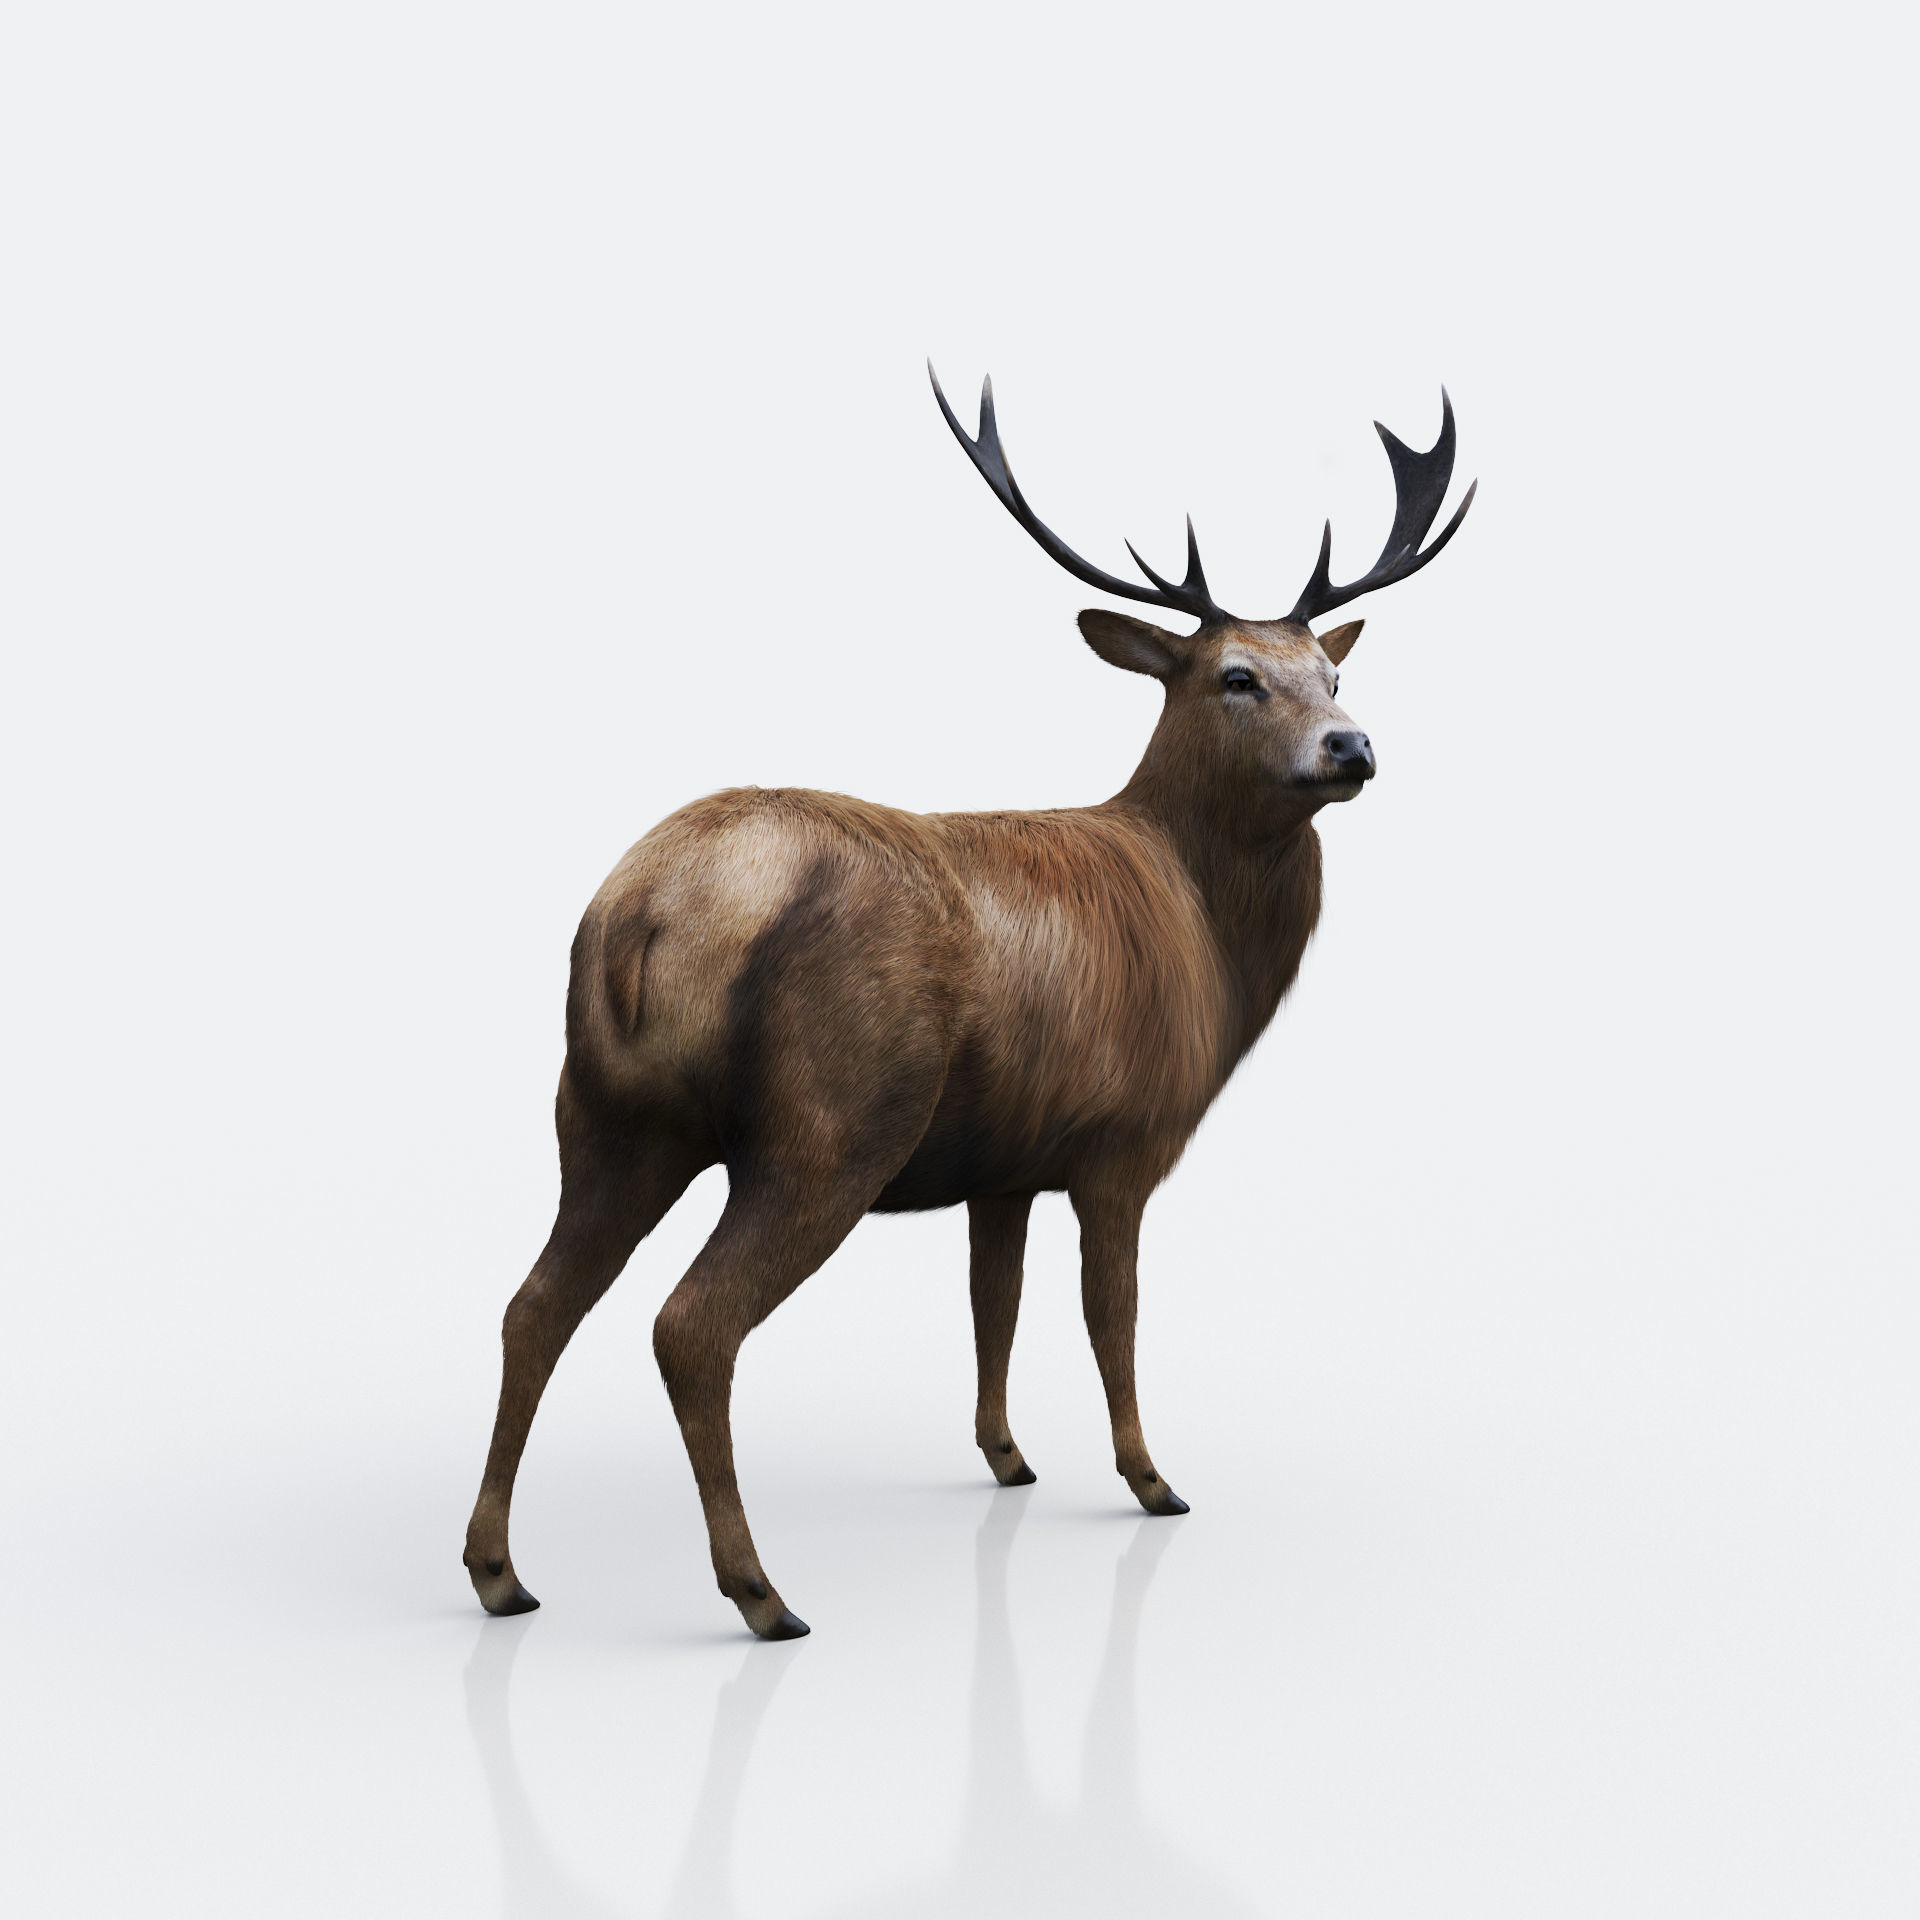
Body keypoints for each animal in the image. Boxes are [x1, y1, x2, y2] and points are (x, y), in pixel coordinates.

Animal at [464, 366, 1476, 1638]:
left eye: (1335, 676)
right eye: (1235, 677)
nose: (1354, 747)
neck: (1203, 936)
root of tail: (642, 913)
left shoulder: (1002, 1159)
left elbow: (995, 1300)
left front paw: (1006, 1456)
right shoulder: (1123, 1139)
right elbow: (1110, 1313)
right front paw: (1150, 1479)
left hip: (603, 1116)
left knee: (533, 1304)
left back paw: (500, 1574)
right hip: (827, 1125)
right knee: (691, 1325)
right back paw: (761, 1593)